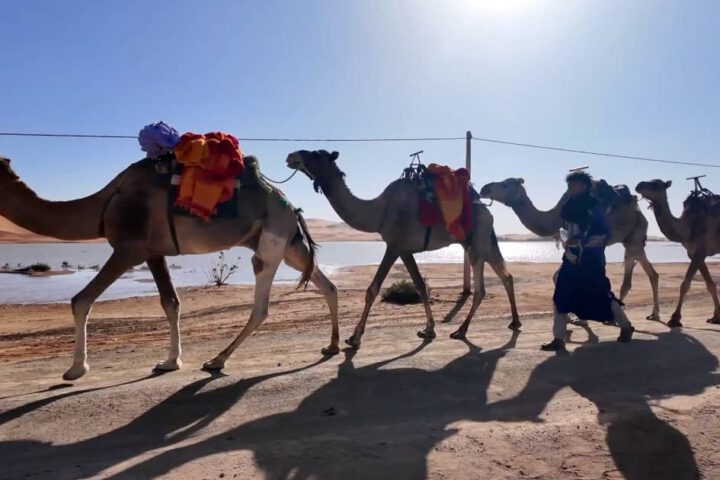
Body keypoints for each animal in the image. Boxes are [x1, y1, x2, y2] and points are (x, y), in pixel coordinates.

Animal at [0, 156, 340, 380]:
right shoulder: (154, 253)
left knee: (261, 305)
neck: (104, 205)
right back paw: (332, 345)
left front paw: (75, 369)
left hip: (271, 241)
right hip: (289, 245)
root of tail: (291, 205)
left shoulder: (128, 249)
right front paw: (170, 362)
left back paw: (217, 360)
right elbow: (171, 302)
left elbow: (81, 300)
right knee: (327, 285)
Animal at [284, 150, 520, 344]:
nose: (291, 156)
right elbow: (420, 287)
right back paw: (514, 322)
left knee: (482, 287)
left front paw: (355, 337)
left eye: (316, 154)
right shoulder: (405, 251)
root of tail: (484, 207)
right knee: (506, 276)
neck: (379, 211)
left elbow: (373, 289)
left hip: (476, 240)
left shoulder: (394, 245)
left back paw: (462, 330)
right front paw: (428, 329)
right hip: (482, 240)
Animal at [480, 176, 660, 318]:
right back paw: (649, 313)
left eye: (505, 184)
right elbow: (557, 277)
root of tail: (639, 211)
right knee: (644, 275)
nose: (484, 188)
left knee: (637, 273)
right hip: (630, 241)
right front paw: (572, 317)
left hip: (635, 237)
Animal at [636, 179, 720, 326]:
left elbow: (685, 284)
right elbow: (710, 285)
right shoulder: (693, 252)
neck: (688, 226)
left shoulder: (701, 250)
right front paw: (716, 317)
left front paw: (675, 318)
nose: (639, 185)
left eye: (657, 184)